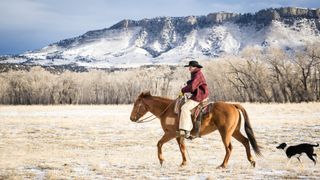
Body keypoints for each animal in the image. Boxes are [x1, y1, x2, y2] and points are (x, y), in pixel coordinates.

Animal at [129, 91, 262, 169]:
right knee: (245, 141)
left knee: (229, 148)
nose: (131, 118)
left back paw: (223, 165)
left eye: (136, 104)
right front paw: (183, 163)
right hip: (234, 132)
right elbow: (182, 148)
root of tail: (232, 105)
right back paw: (252, 161)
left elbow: (159, 143)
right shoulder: (179, 135)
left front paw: (161, 160)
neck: (167, 110)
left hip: (225, 133)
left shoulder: (170, 133)